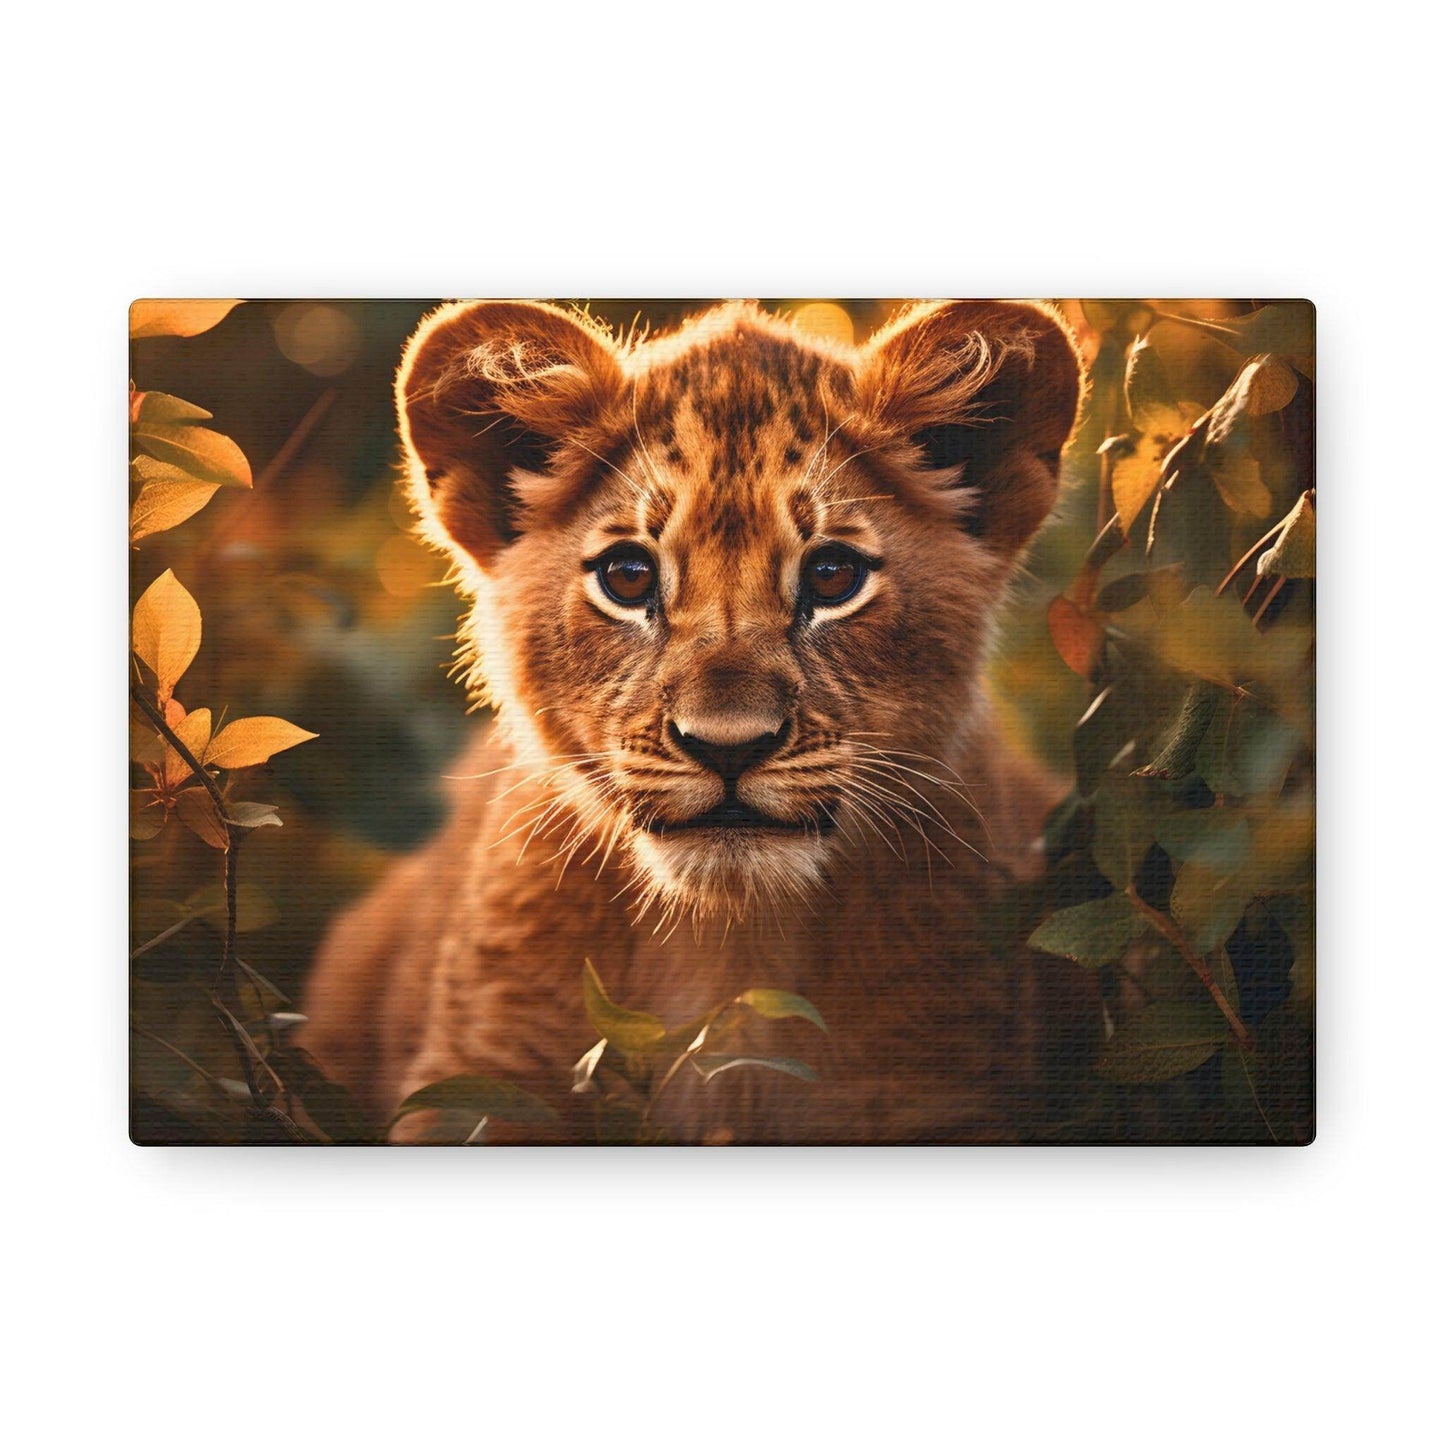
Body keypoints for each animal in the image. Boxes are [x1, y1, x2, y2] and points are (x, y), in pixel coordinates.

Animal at [299, 298, 1096, 1142]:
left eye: (832, 575)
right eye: (627, 577)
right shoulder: (483, 1084)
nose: (728, 747)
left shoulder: (936, 1097)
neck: (730, 945)